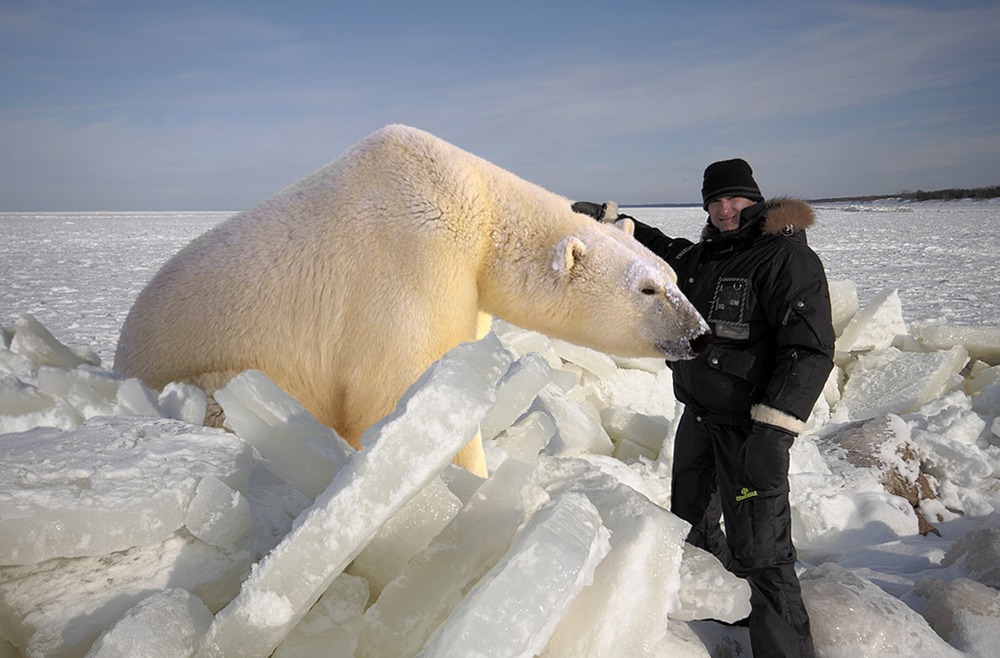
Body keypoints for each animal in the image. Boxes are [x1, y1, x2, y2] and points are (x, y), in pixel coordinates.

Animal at [115, 124, 712, 472]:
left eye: (674, 276)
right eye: (648, 288)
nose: (700, 335)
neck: (479, 209)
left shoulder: (467, 289)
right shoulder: (411, 258)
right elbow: (400, 386)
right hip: (205, 372)